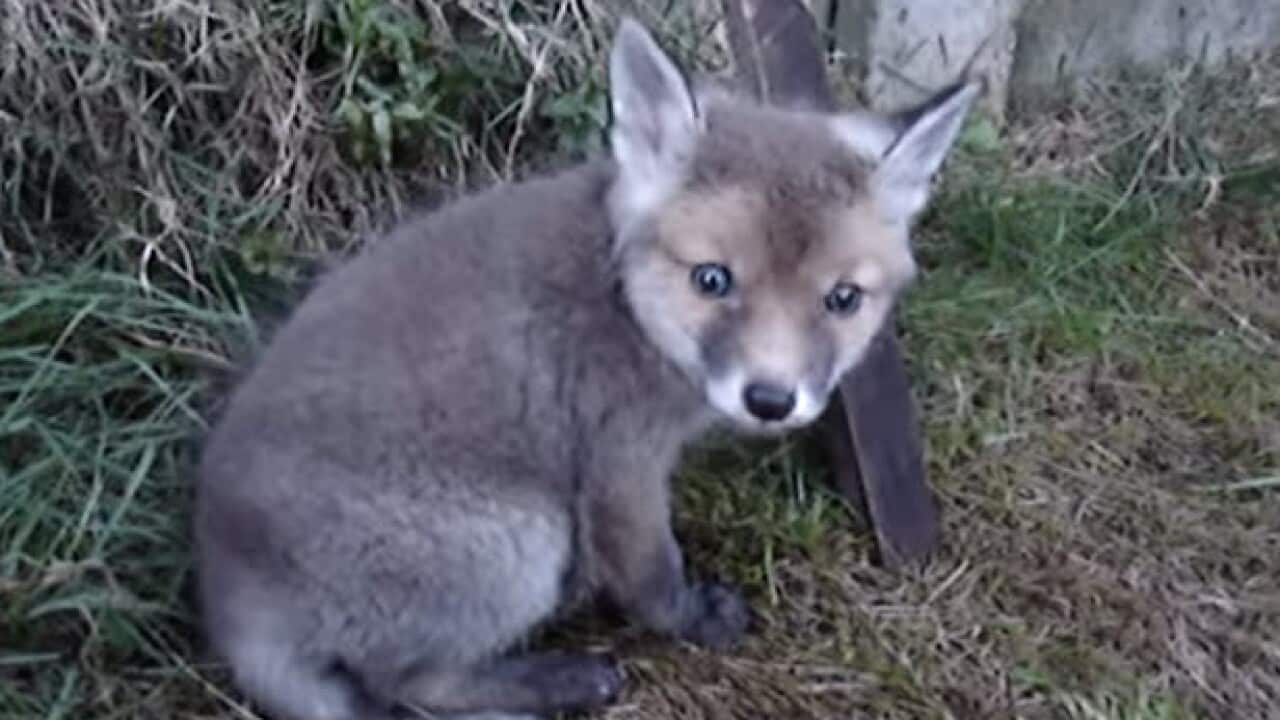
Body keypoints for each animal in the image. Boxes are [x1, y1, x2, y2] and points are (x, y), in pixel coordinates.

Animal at [193, 15, 979, 720]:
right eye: (713, 280)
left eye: (842, 299)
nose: (770, 399)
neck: (623, 294)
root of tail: (227, 590)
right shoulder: (618, 461)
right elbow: (650, 576)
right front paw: (691, 621)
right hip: (519, 539)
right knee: (408, 685)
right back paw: (559, 683)